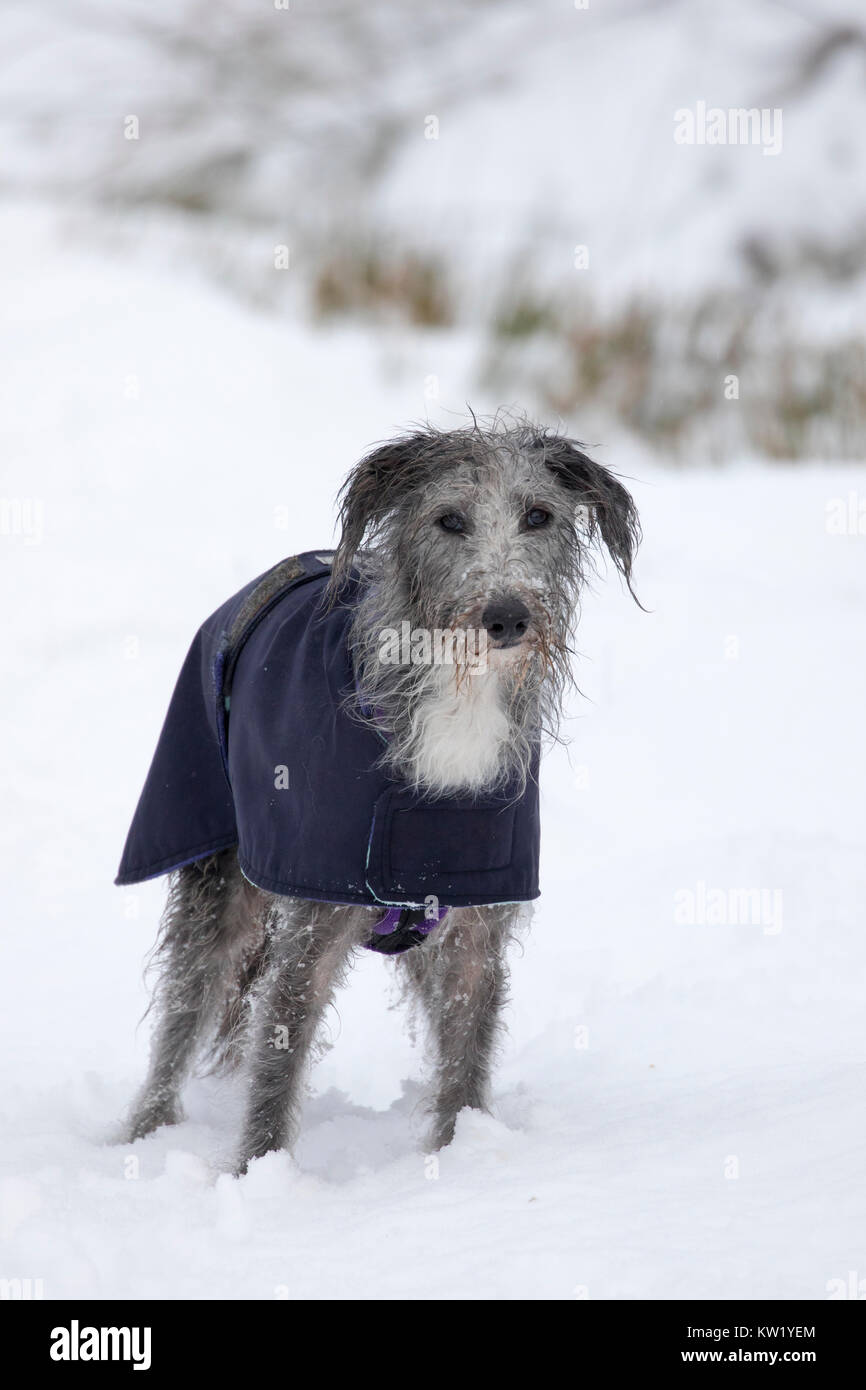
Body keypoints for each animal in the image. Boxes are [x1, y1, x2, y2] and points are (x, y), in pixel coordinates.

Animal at [118, 414, 639, 1173]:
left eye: (538, 515)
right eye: (449, 519)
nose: (507, 618)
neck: (454, 698)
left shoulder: (474, 923)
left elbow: (465, 1057)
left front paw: (460, 1159)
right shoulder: (310, 928)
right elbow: (276, 1066)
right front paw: (258, 1177)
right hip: (214, 870)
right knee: (184, 1015)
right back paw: (143, 1137)